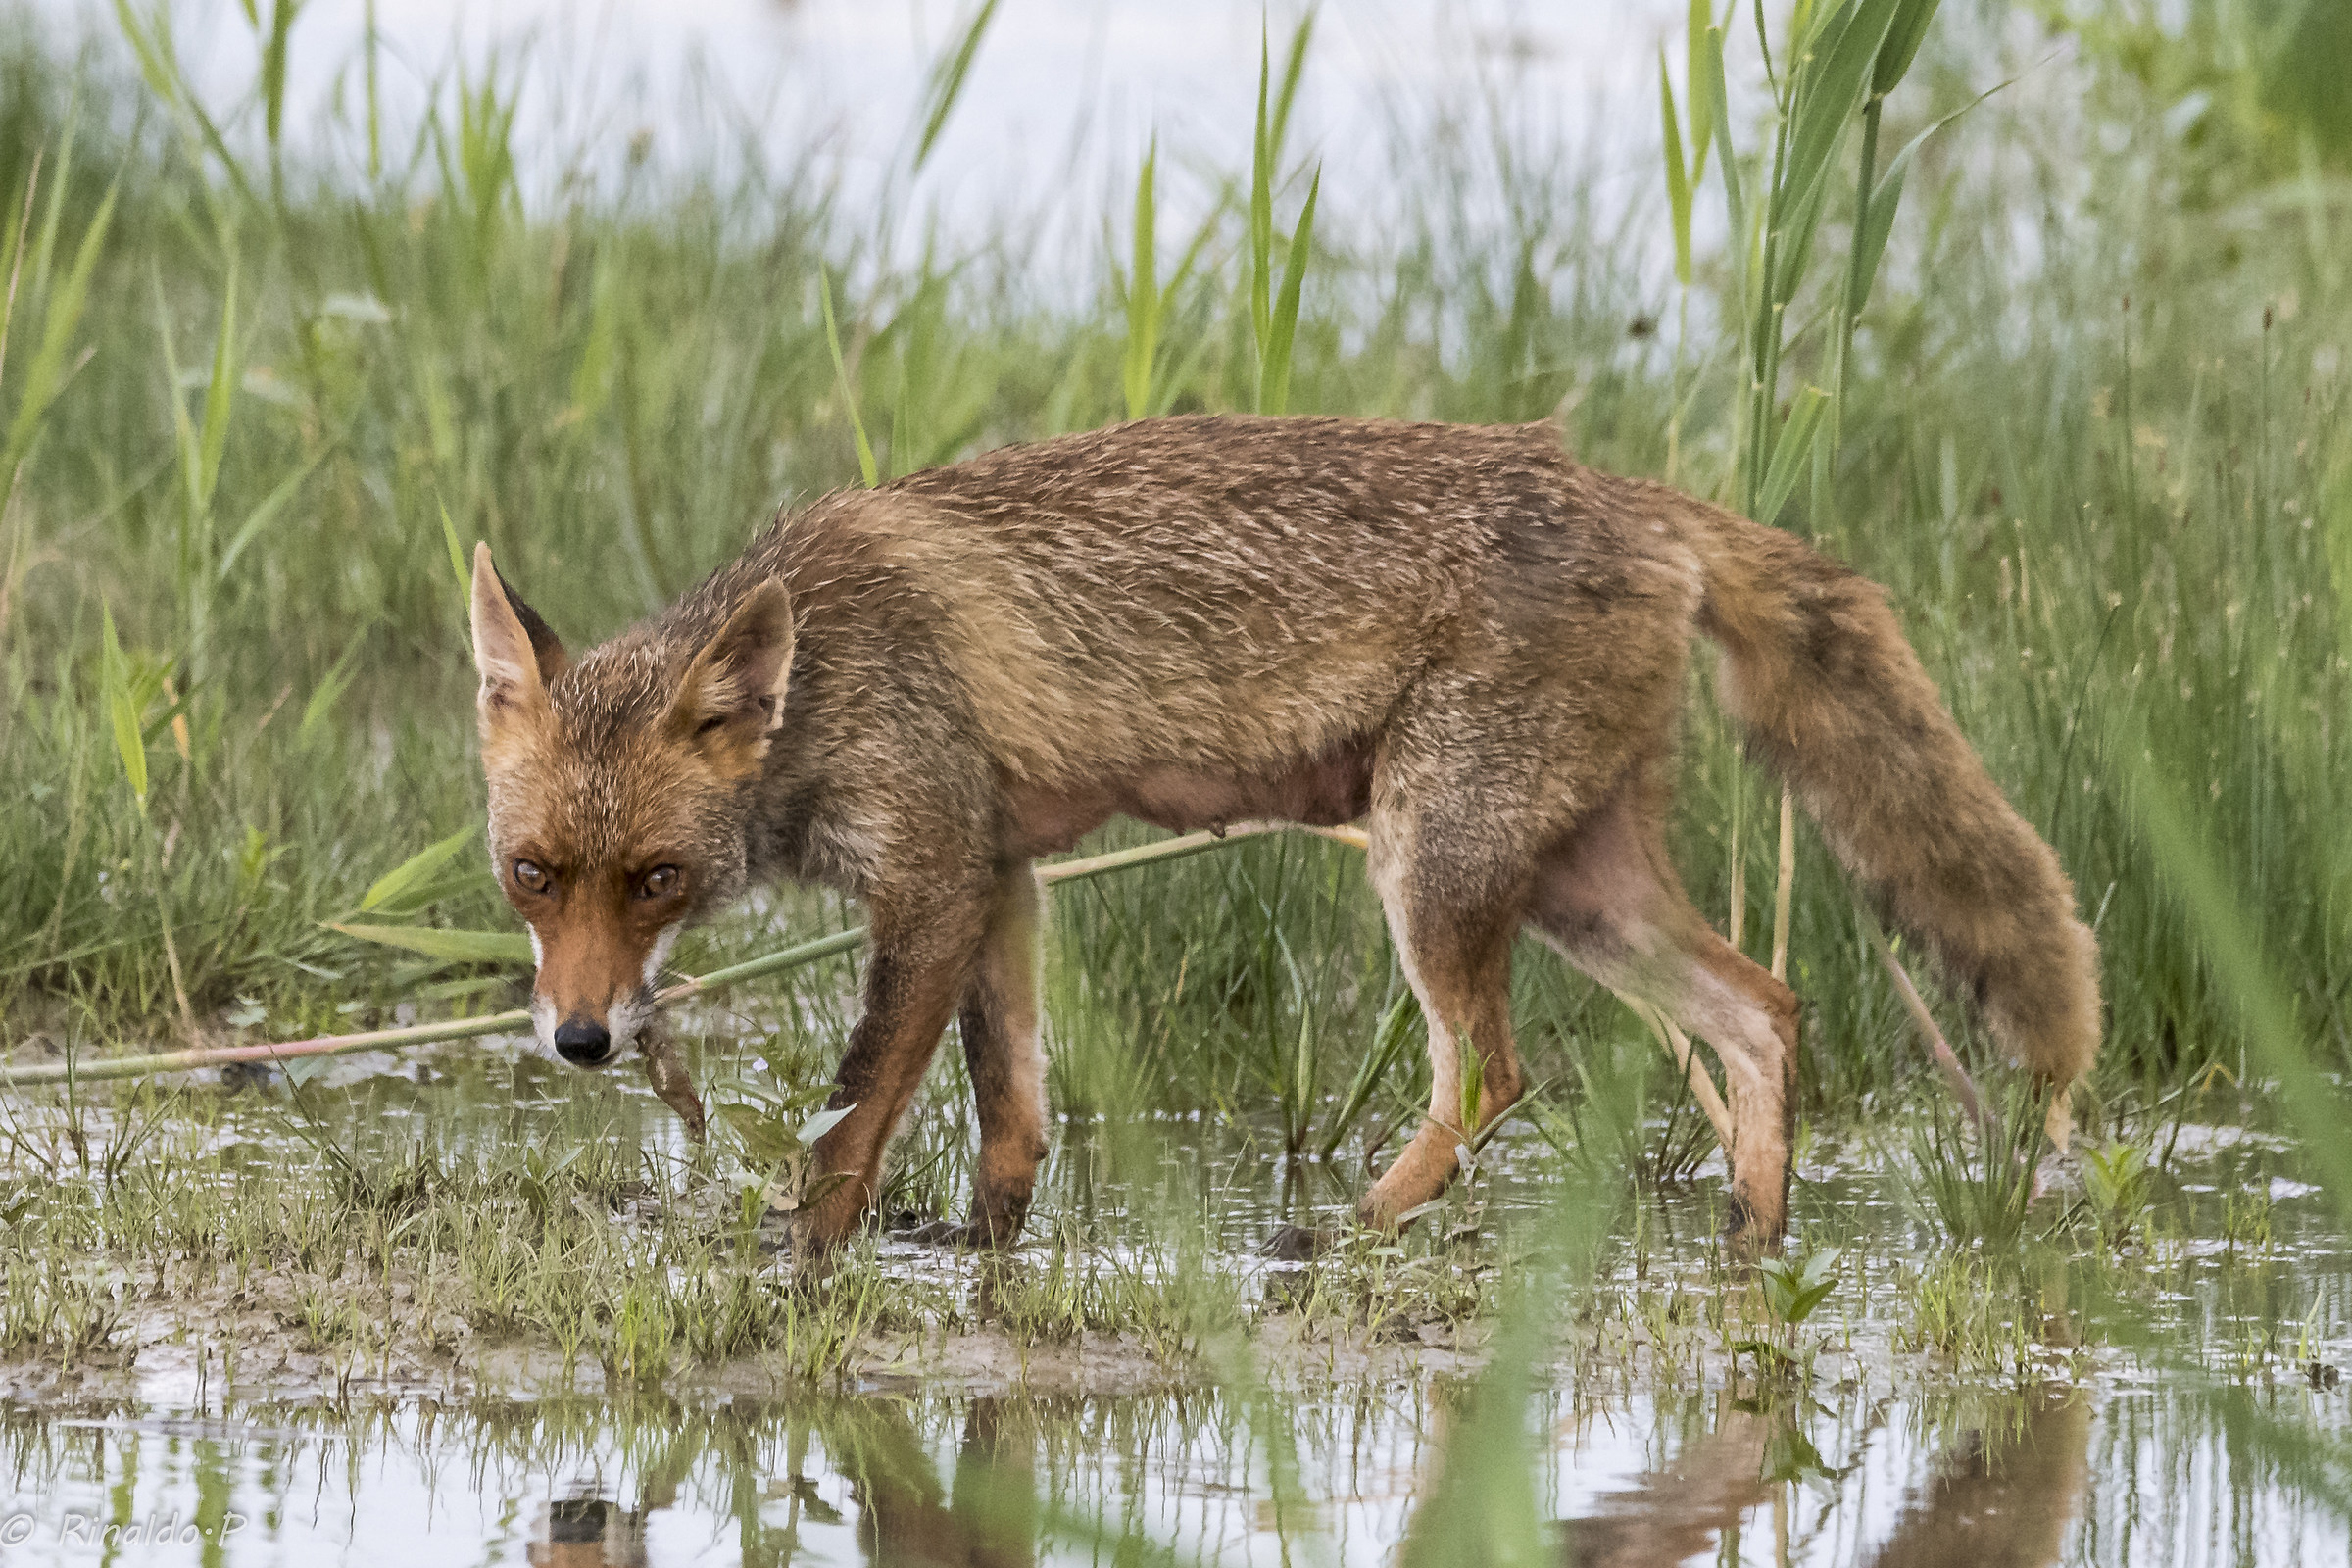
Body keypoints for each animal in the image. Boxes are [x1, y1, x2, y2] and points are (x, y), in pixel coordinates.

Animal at [467, 414, 2101, 1252]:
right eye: (532, 876)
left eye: (658, 878)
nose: (581, 1043)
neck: (832, 669)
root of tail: (1625, 489)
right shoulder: (1000, 872)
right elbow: (1012, 1114)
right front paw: (987, 1250)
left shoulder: (929, 879)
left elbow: (855, 1111)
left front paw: (803, 1257)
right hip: (1573, 883)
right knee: (1760, 1014)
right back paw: (1756, 1243)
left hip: (1430, 864)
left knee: (1494, 1074)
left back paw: (1338, 1231)